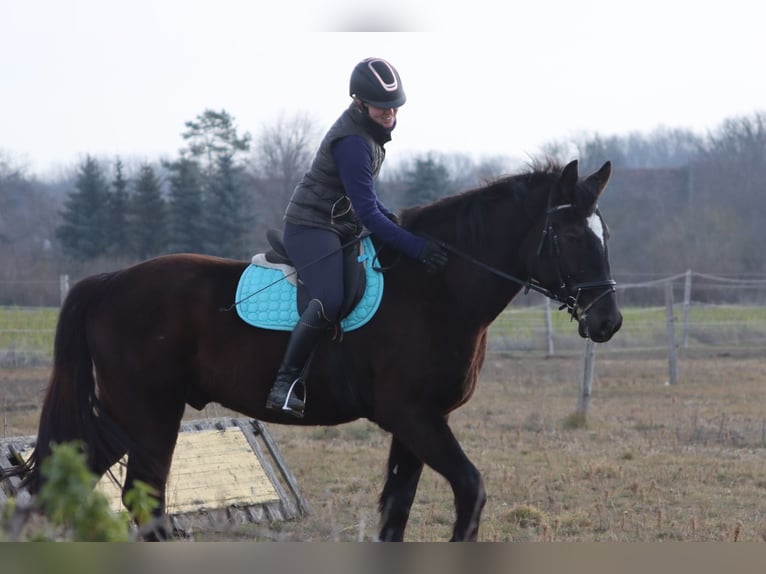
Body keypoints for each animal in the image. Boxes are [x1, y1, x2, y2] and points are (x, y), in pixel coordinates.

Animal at [1, 159, 624, 544]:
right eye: (573, 236)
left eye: (605, 235)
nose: (608, 321)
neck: (435, 287)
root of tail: (108, 281)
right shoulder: (414, 418)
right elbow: (471, 491)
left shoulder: (417, 425)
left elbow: (396, 511)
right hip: (151, 415)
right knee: (142, 505)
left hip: (124, 417)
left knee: (49, 487)